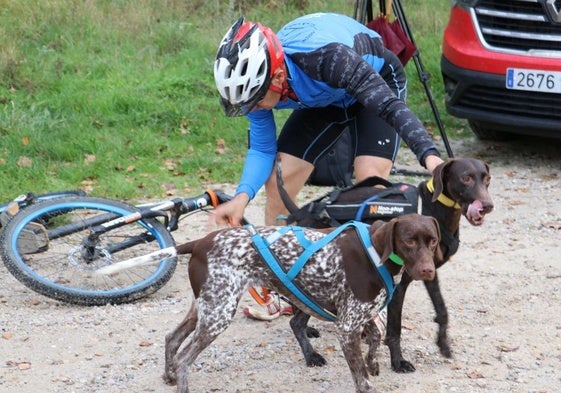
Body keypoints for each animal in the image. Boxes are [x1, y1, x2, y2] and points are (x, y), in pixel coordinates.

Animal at [162, 213, 442, 392]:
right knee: (183, 358)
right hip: (218, 314)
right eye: (409, 240)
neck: (375, 251)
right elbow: (362, 379)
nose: (428, 270)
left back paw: (169, 376)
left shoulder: (357, 316)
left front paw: (373, 364)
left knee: (171, 338)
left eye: (433, 241)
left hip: (206, 308)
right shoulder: (347, 327)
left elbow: (374, 338)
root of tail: (200, 242)